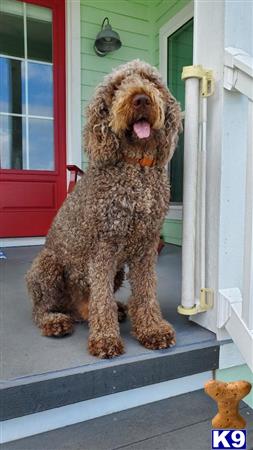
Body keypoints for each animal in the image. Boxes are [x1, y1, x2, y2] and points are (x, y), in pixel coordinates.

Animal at [26, 59, 182, 358]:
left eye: (151, 81)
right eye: (117, 86)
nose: (141, 98)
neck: (135, 168)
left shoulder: (146, 248)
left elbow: (146, 292)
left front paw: (152, 329)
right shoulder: (103, 249)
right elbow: (102, 300)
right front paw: (106, 339)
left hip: (117, 272)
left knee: (86, 306)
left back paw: (111, 310)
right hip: (47, 266)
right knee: (41, 309)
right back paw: (54, 321)